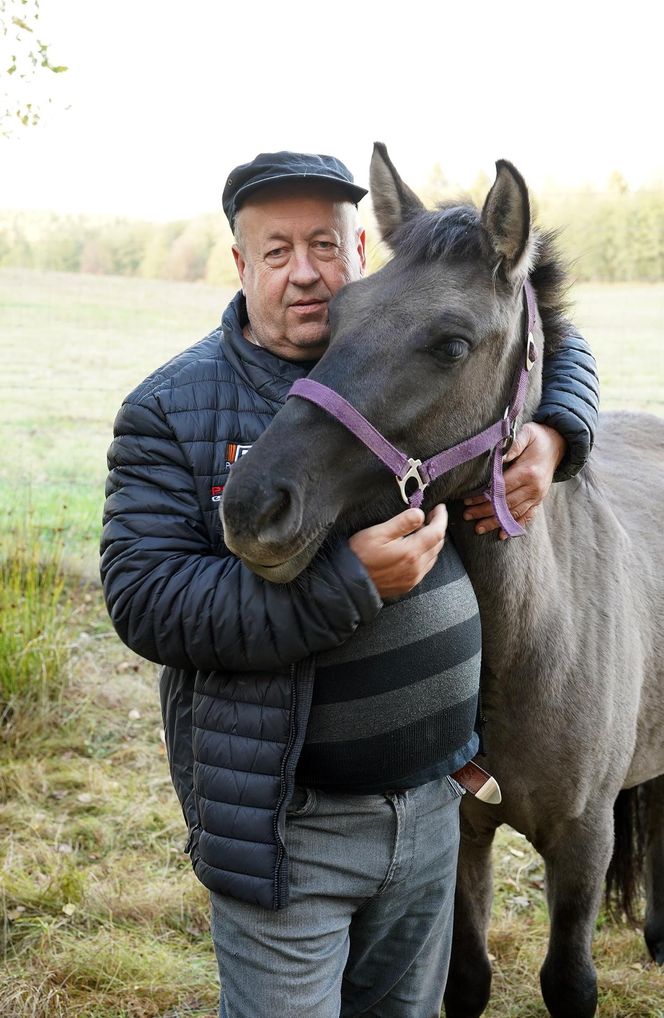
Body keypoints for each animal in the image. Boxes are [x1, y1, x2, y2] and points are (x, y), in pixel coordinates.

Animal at [222, 145, 664, 1018]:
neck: (533, 647)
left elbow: (569, 981)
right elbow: (464, 979)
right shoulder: (460, 833)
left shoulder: (584, 841)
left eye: (452, 344)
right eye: (339, 314)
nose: (255, 504)